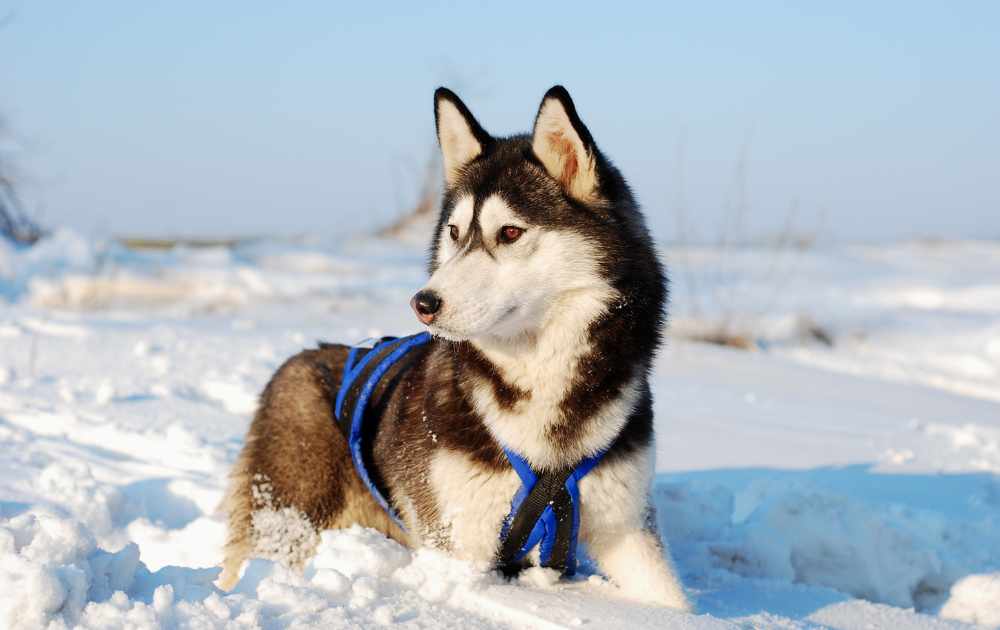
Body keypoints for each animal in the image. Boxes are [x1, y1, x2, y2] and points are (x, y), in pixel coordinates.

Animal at [218, 85, 688, 612]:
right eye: (455, 233)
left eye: (510, 232)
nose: (423, 303)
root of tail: (303, 357)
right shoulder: (458, 548)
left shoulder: (628, 531)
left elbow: (674, 605)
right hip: (291, 518)